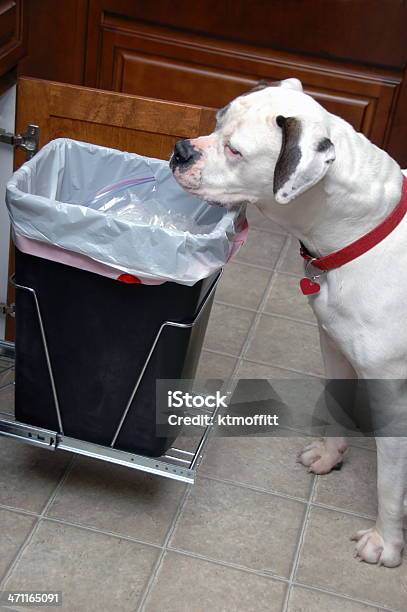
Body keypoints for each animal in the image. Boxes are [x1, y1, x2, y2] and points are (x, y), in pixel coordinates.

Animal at [171, 77, 407, 568]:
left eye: (236, 151)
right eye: (217, 121)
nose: (181, 150)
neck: (364, 232)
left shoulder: (392, 391)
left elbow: (390, 480)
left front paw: (387, 541)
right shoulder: (334, 346)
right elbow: (335, 403)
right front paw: (329, 454)